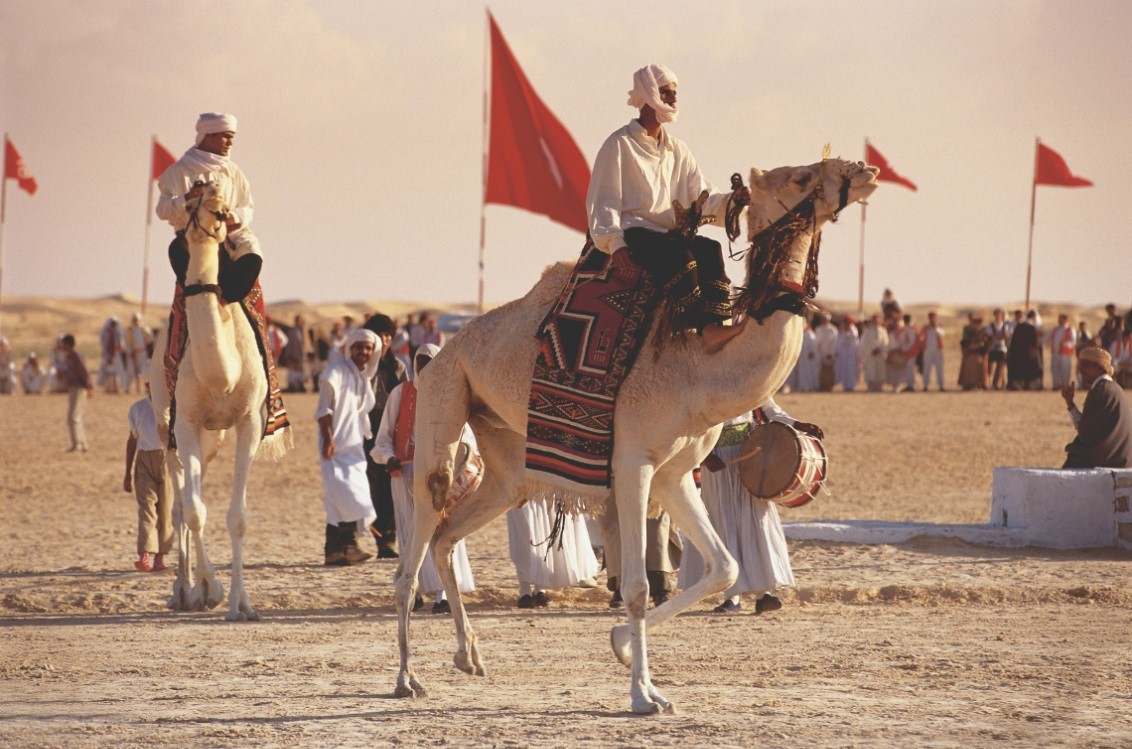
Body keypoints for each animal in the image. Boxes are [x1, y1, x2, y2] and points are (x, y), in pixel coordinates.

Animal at [150, 184, 287, 624]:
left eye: (224, 209)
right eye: (189, 201)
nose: (210, 193)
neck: (220, 374)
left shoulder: (249, 423)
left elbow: (237, 517)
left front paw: (241, 604)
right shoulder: (187, 423)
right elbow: (195, 511)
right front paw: (210, 590)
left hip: (214, 437)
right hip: (167, 426)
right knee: (181, 504)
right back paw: (184, 590)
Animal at [393, 155, 878, 715]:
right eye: (798, 177)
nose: (862, 170)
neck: (698, 371)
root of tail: (434, 353)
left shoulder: (675, 474)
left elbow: (724, 567)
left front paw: (621, 645)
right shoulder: (632, 463)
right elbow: (639, 587)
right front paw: (644, 693)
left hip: (506, 464)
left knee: (448, 535)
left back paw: (468, 656)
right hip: (443, 398)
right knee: (415, 546)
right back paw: (406, 678)